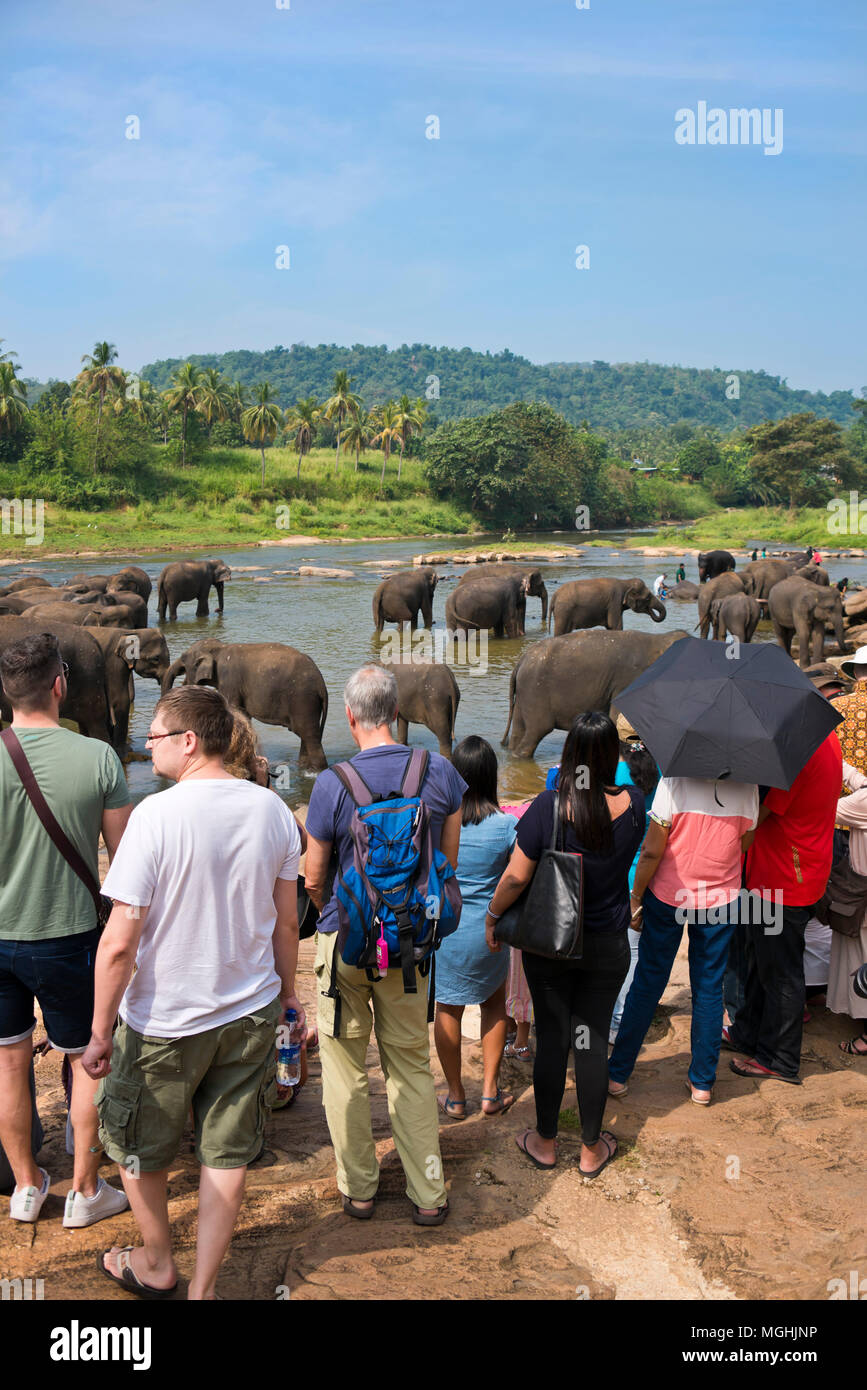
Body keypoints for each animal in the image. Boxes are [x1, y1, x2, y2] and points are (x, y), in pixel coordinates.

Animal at [161, 636, 326, 772]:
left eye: (183, 659)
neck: (220, 648)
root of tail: (321, 683)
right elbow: (243, 715)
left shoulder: (230, 681)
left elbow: (234, 710)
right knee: (307, 736)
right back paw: (304, 768)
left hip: (303, 699)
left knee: (308, 735)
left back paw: (313, 773)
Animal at [500, 631, 691, 761]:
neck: (658, 640)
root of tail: (521, 660)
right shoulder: (626, 681)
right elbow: (619, 718)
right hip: (535, 692)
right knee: (537, 731)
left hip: (524, 695)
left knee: (518, 731)